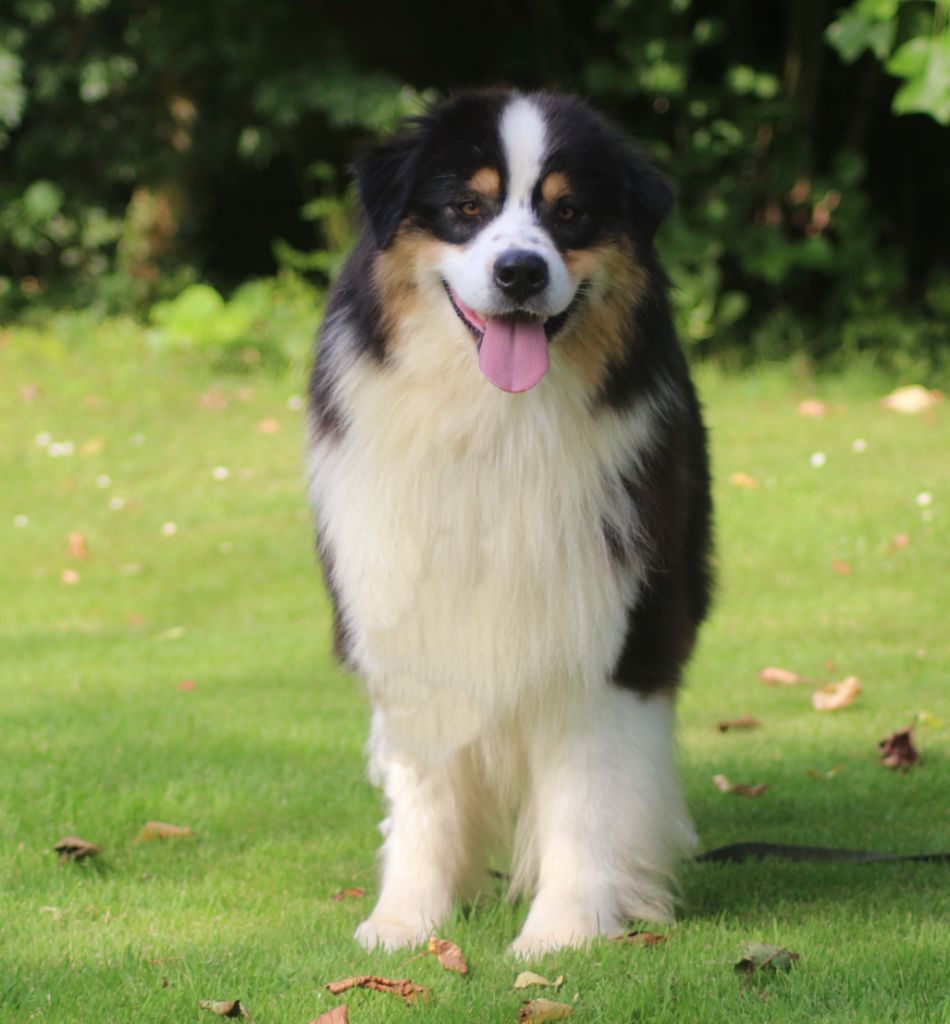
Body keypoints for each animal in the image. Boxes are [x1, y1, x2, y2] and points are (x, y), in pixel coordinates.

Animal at [307, 88, 713, 956]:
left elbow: (588, 793)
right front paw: (406, 917)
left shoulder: (614, 626)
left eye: (571, 213)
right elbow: (424, 791)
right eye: (467, 207)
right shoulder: (412, 616)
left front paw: (566, 929)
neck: (496, 425)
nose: (520, 269)